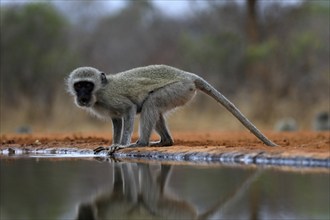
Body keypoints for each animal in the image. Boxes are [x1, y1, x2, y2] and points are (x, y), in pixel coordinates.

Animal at [66, 65, 276, 153]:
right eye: (78, 85)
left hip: (180, 89)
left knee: (150, 103)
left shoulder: (114, 99)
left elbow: (130, 109)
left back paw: (141, 143)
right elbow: (117, 121)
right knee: (153, 107)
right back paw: (165, 141)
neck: (100, 91)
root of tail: (187, 75)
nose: (82, 96)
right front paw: (112, 143)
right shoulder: (112, 112)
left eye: (87, 85)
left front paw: (120, 145)